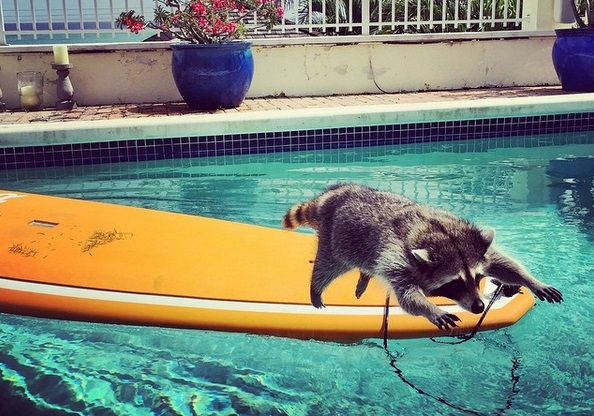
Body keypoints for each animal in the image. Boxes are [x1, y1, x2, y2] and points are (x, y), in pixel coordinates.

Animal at [280, 184, 560, 330]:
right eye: (454, 283)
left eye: (478, 277)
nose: (479, 307)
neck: (438, 234)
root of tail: (333, 194)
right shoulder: (397, 258)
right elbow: (407, 297)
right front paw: (430, 309)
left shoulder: (474, 243)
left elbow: (503, 263)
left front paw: (531, 280)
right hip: (337, 240)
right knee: (328, 265)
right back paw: (317, 287)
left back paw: (364, 276)